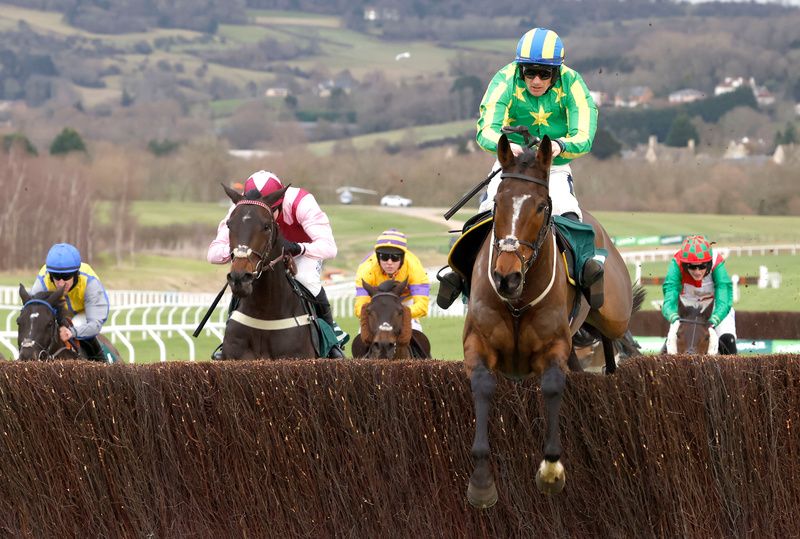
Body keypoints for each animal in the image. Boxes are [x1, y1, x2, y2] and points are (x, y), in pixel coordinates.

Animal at [462, 133, 636, 508]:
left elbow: (553, 386)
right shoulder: (477, 343)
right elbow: (483, 386)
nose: (506, 276)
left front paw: (551, 471)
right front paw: (481, 482)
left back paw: (615, 363)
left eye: (542, 206)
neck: (518, 298)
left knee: (612, 336)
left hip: (614, 312)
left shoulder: (554, 344)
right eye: (497, 202)